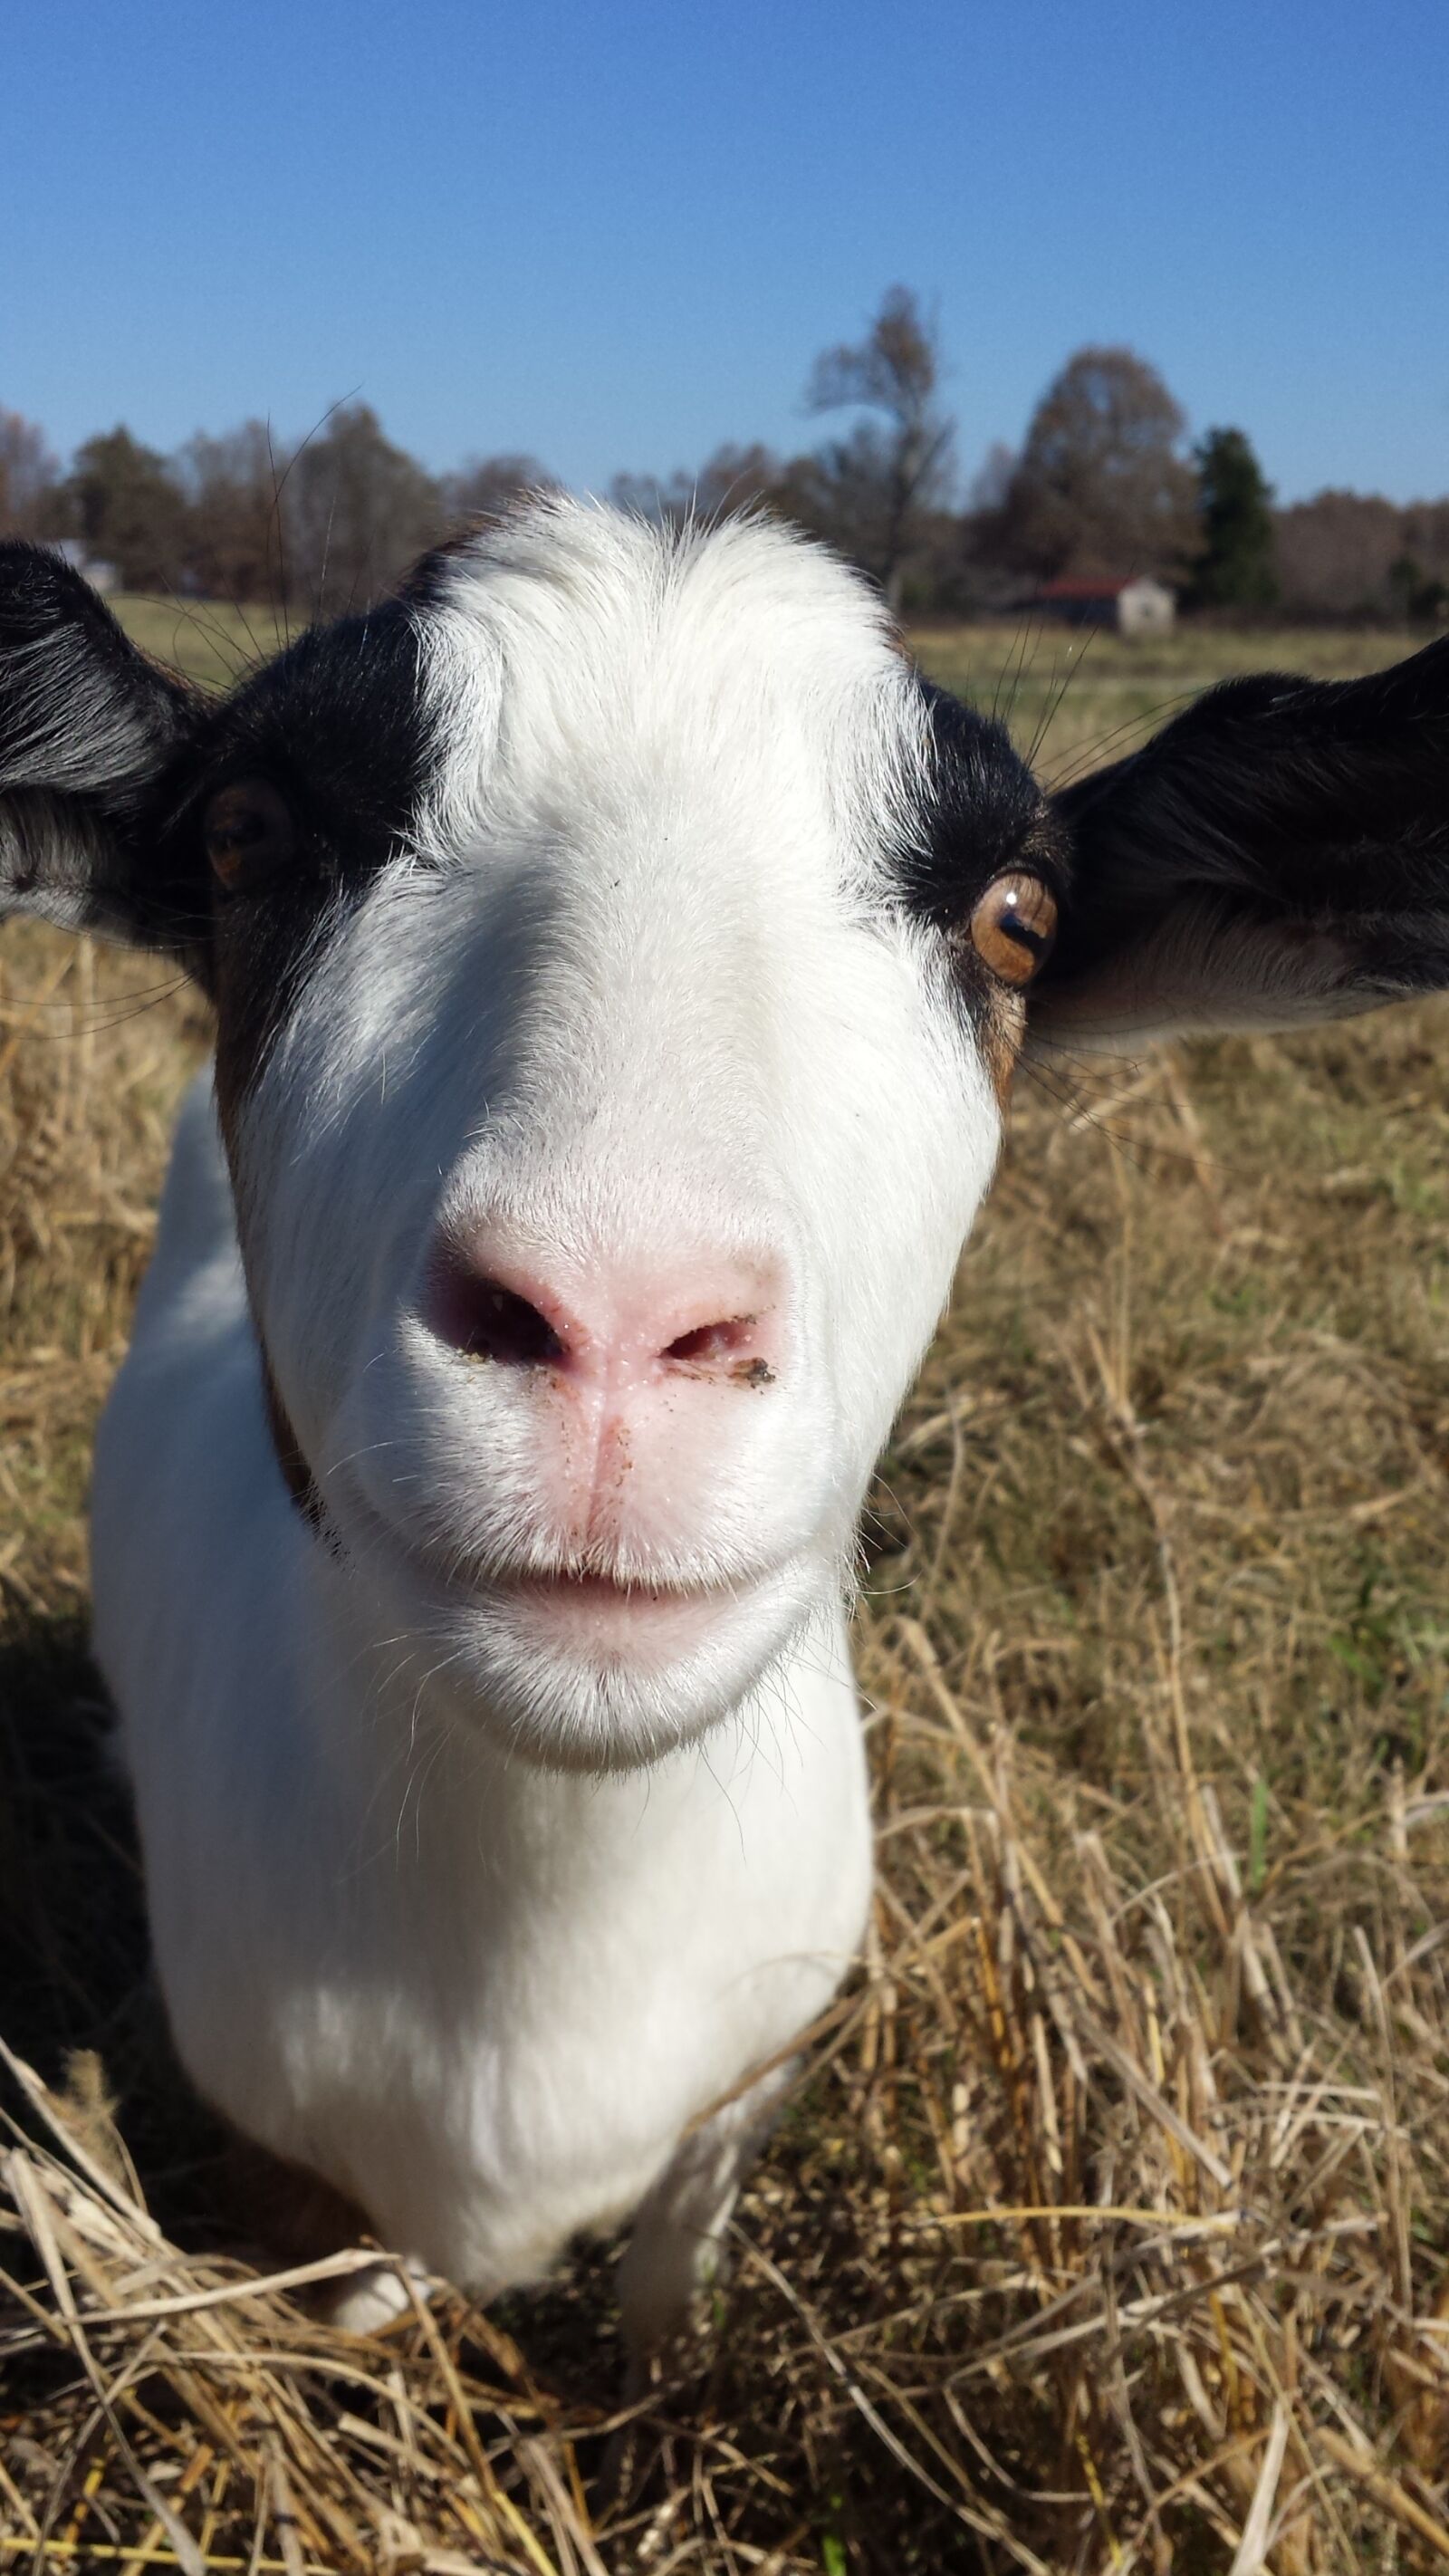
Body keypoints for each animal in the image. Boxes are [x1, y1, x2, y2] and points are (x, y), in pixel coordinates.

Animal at [2, 499, 1447, 2364]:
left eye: (1018, 913)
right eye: (247, 836)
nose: (618, 1320)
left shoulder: (753, 2069)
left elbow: (668, 2274)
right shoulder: (285, 2174)